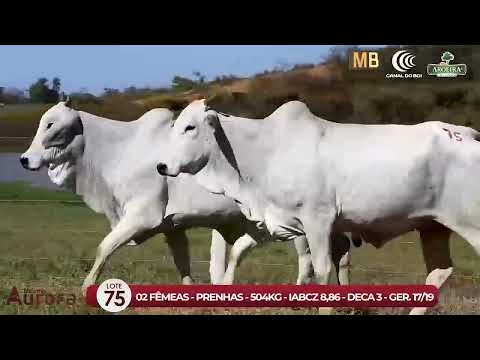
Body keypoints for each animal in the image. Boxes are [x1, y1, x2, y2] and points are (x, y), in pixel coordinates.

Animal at [18, 98, 352, 292]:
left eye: (51, 123)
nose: (24, 159)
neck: (119, 149)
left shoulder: (141, 216)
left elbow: (104, 248)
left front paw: (86, 287)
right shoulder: (172, 225)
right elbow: (183, 262)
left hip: (300, 226)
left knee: (308, 260)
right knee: (341, 254)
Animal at [157, 99, 480, 316]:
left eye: (190, 127)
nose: (161, 165)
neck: (265, 153)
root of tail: (466, 133)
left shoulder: (318, 221)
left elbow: (322, 269)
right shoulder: (280, 221)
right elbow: (239, 252)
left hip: (470, 224)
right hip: (433, 226)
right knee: (439, 272)